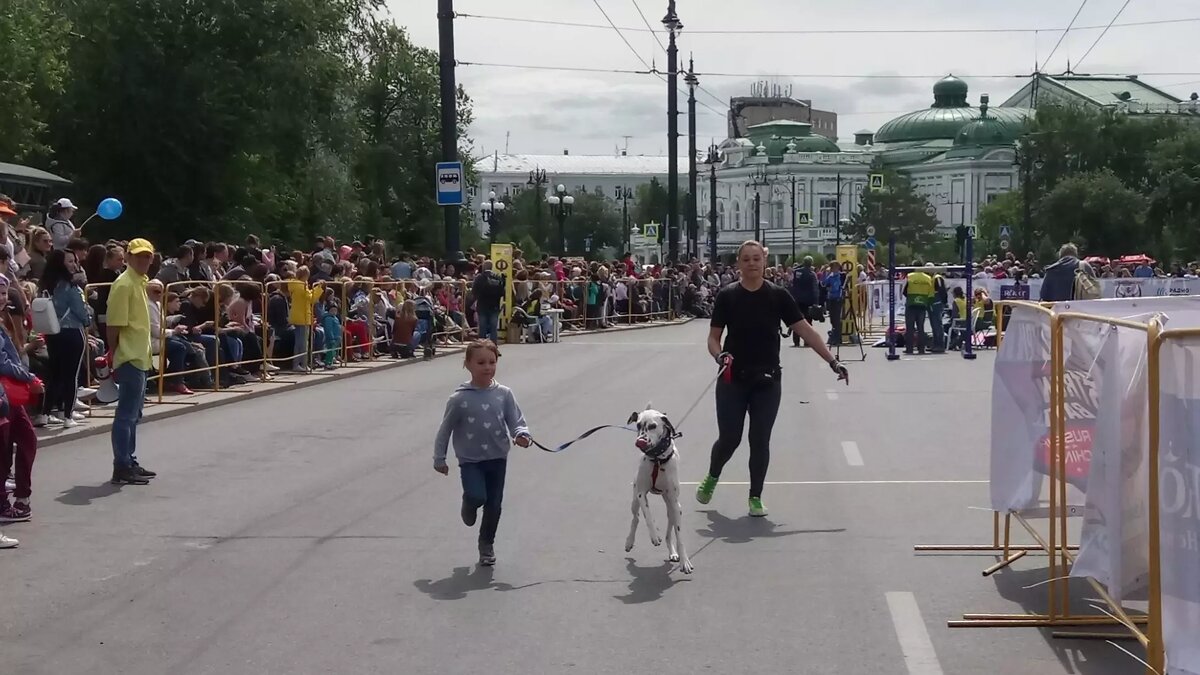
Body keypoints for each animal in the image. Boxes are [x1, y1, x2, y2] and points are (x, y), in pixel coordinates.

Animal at [628, 403, 696, 571]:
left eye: (653, 426)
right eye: (638, 425)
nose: (640, 440)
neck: (657, 459)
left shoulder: (675, 504)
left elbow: (679, 536)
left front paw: (684, 561)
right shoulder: (641, 494)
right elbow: (648, 516)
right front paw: (654, 536)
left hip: (671, 508)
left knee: (669, 533)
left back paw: (673, 552)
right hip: (634, 501)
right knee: (636, 518)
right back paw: (629, 541)